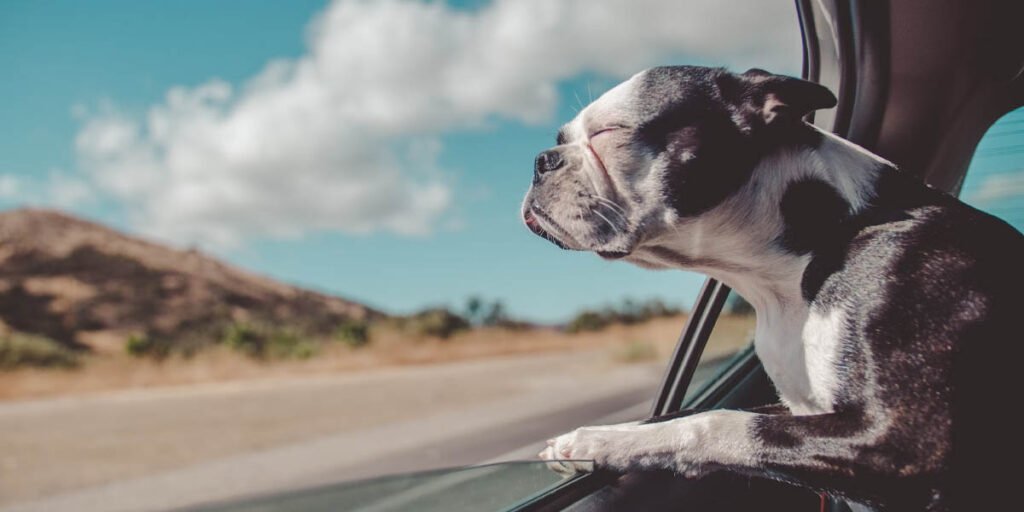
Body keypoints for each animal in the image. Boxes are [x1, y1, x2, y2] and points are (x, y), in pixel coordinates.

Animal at [524, 66, 1019, 509]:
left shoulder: (901, 442)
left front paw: (601, 441)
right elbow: (677, 413)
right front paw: (594, 438)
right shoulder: (799, 409)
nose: (541, 159)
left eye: (609, 132)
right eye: (561, 138)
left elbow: (714, 423)